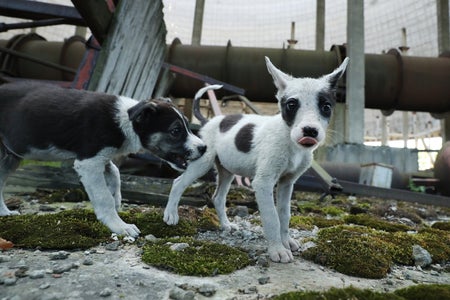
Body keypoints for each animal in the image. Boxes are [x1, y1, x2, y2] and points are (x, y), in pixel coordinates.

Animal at [0, 82, 207, 237]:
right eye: (175, 131)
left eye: (187, 126)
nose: (204, 148)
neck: (126, 120)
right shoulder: (88, 162)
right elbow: (103, 197)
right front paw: (119, 225)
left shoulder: (101, 156)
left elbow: (115, 172)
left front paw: (117, 198)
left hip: (10, 156)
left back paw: (5, 213)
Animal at [163, 56, 350, 262]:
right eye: (291, 105)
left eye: (326, 107)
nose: (310, 131)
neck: (290, 142)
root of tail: (209, 121)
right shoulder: (263, 183)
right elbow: (272, 218)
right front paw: (277, 249)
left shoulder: (287, 183)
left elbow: (284, 215)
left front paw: (286, 241)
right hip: (202, 163)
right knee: (178, 183)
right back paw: (170, 214)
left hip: (227, 170)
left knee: (218, 198)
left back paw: (226, 225)